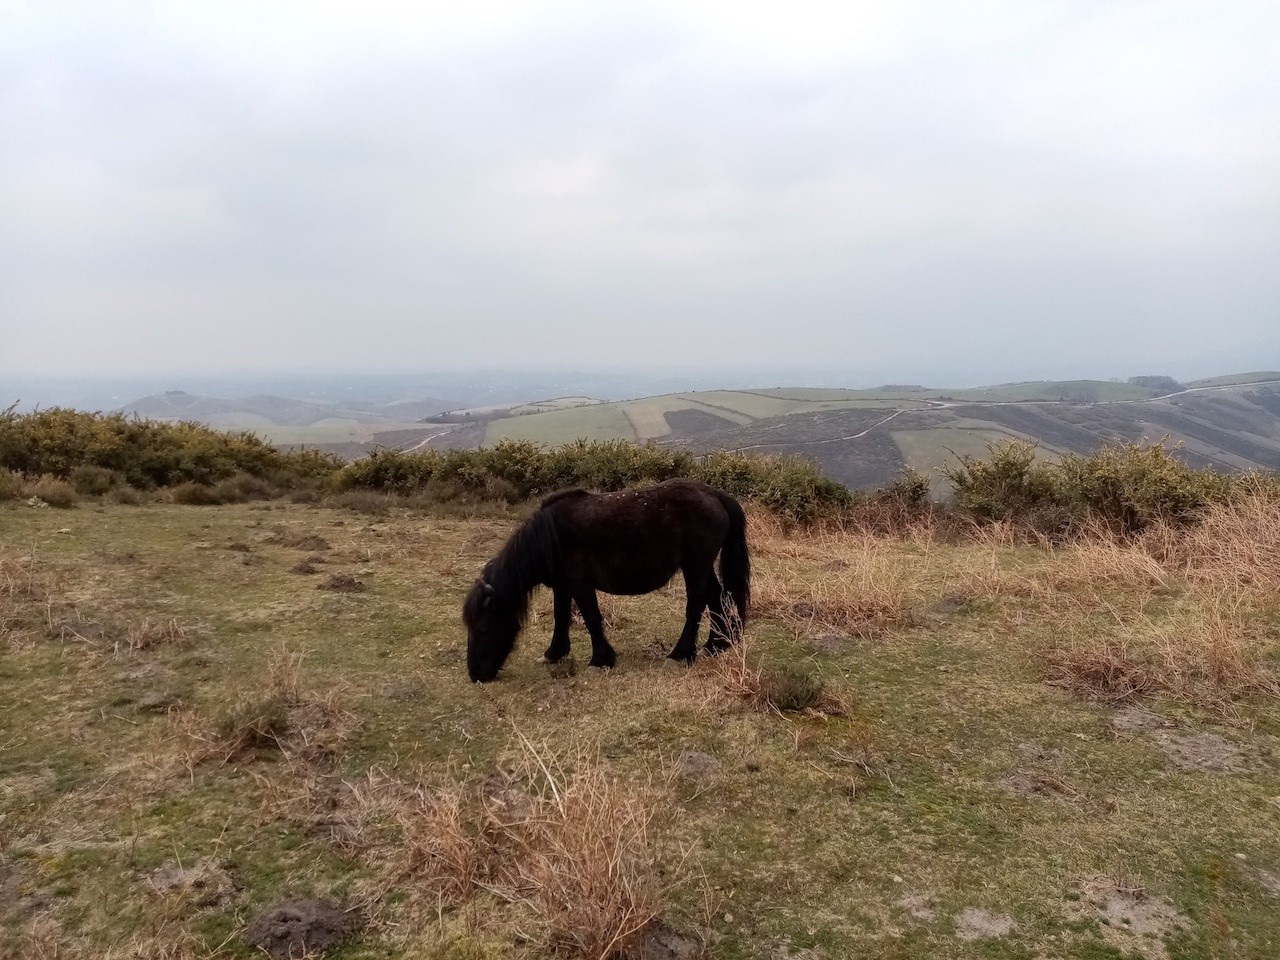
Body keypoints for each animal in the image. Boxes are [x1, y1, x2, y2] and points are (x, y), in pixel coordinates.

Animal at [463, 481, 747, 686]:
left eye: (484, 629)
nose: (476, 674)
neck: (549, 536)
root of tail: (714, 495)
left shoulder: (580, 585)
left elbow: (591, 619)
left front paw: (600, 660)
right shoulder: (562, 586)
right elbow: (560, 617)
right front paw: (554, 653)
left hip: (695, 565)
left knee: (697, 604)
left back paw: (680, 654)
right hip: (701, 566)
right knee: (717, 598)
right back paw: (715, 646)